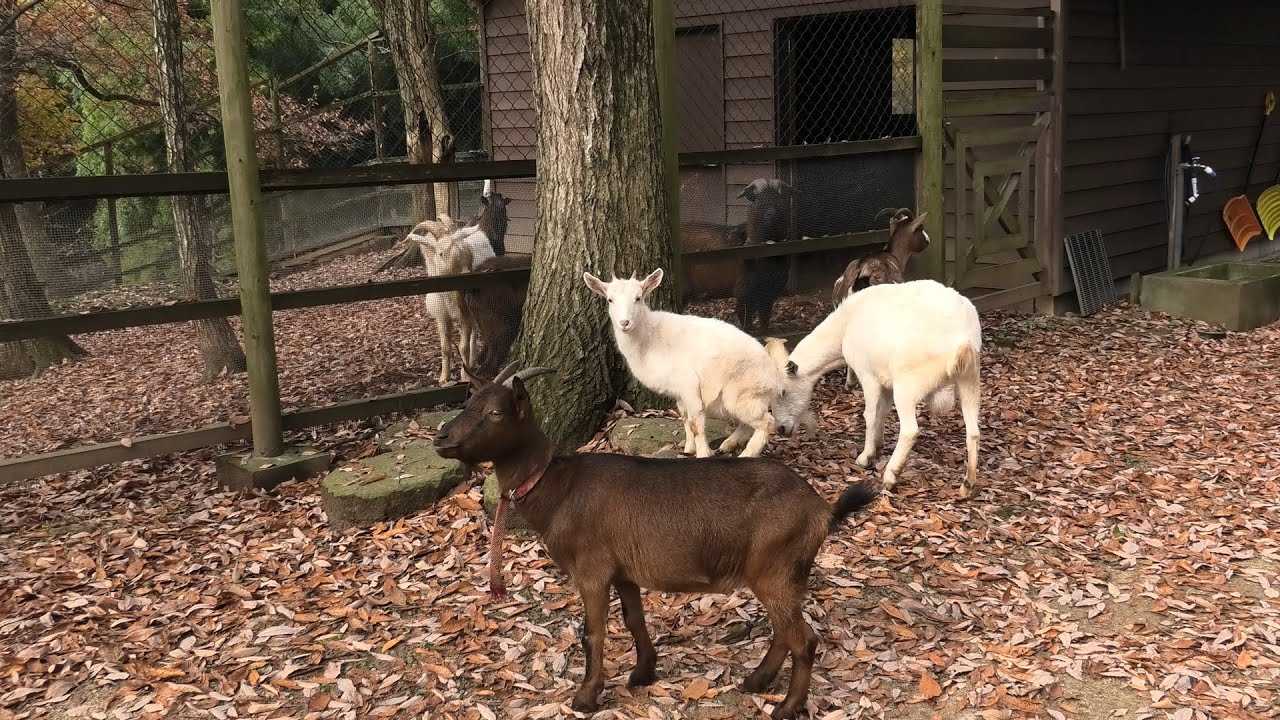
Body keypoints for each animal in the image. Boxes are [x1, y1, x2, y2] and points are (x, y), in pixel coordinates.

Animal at [404, 213, 476, 386]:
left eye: (468, 253)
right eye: (441, 253)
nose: (468, 278)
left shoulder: (465, 316)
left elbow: (464, 346)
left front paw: (465, 376)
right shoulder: (442, 317)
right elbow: (445, 347)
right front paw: (444, 378)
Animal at [432, 363, 880, 717]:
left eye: (495, 412)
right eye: (467, 403)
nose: (441, 438)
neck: (558, 488)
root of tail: (821, 509)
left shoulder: (591, 568)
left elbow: (593, 631)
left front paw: (586, 697)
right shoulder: (623, 571)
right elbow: (635, 619)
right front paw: (643, 672)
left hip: (776, 567)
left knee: (804, 639)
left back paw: (786, 707)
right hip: (784, 573)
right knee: (785, 631)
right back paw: (756, 681)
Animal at [581, 266, 808, 456]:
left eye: (638, 298)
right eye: (609, 300)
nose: (624, 322)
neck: (651, 340)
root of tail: (775, 374)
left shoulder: (689, 384)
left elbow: (696, 422)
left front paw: (702, 454)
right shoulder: (679, 393)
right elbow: (685, 419)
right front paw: (689, 449)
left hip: (743, 393)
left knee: (766, 423)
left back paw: (746, 454)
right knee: (748, 423)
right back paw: (728, 444)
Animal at [778, 278, 977, 497]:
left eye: (783, 392)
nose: (780, 429)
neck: (844, 327)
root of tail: (960, 341)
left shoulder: (868, 376)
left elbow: (870, 415)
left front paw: (865, 457)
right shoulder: (885, 381)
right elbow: (882, 412)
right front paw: (878, 446)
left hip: (908, 385)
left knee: (910, 431)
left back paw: (891, 476)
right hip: (970, 379)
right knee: (973, 432)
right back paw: (968, 485)